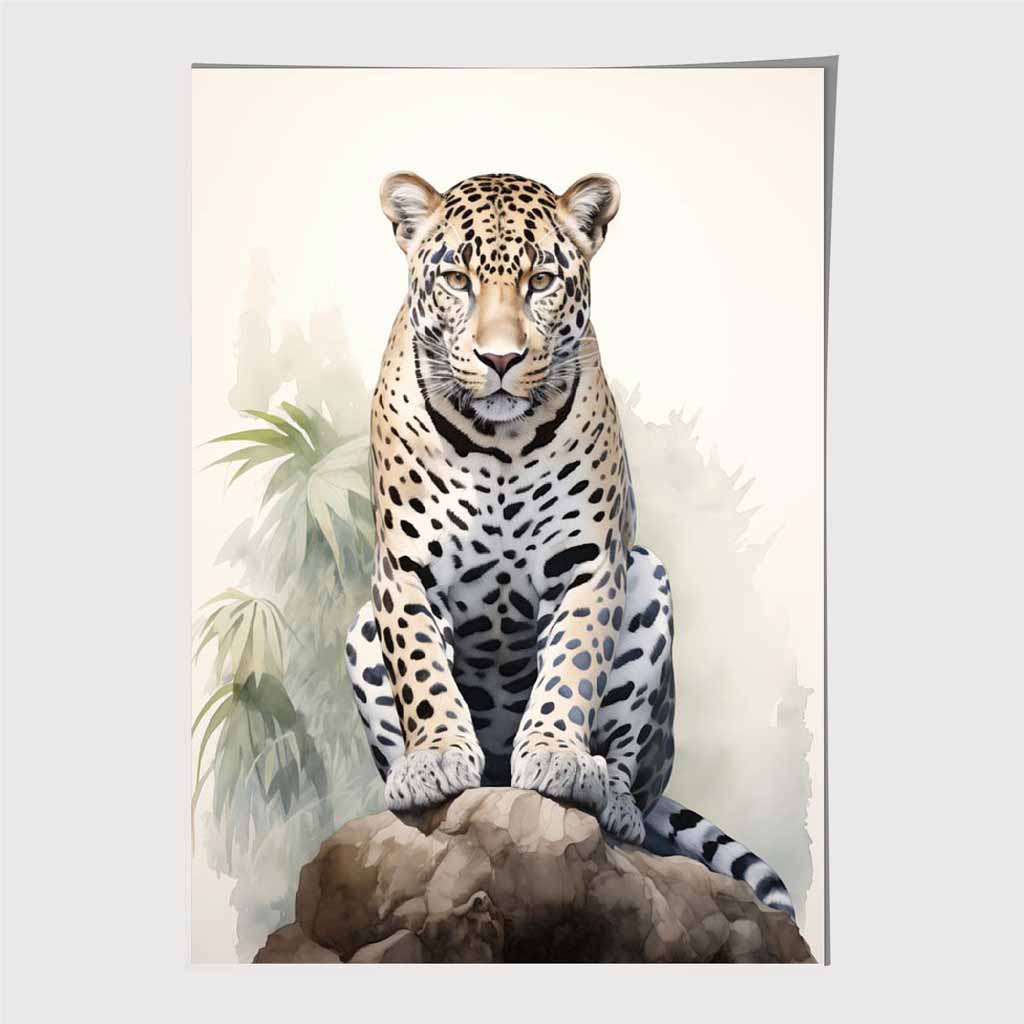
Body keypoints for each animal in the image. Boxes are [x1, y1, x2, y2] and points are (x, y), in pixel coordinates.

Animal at [344, 171, 795, 918]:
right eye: (458, 279)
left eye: (541, 281)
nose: (500, 358)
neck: (496, 444)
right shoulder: (405, 571)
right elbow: (423, 673)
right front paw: (435, 756)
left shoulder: (589, 566)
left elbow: (572, 669)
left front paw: (556, 753)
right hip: (358, 629)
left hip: (650, 586)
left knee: (633, 774)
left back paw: (610, 797)